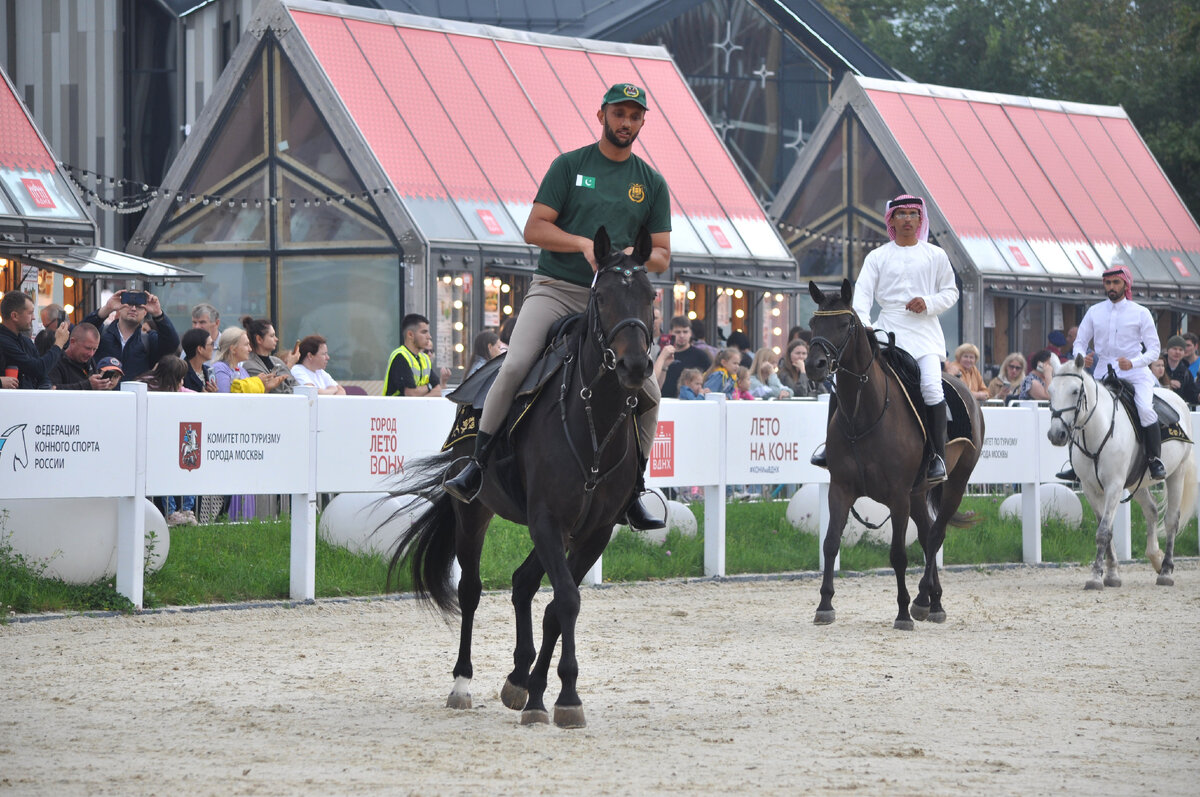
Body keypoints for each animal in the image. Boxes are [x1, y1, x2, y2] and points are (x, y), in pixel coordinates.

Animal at [388, 224, 657, 729]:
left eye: (650, 295)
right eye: (603, 296)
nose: (635, 365)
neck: (593, 420)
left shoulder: (592, 531)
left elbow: (557, 605)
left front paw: (539, 691)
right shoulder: (547, 519)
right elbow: (566, 599)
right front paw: (564, 696)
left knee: (522, 583)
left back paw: (519, 676)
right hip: (473, 512)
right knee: (471, 590)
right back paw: (463, 683)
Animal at [806, 279, 984, 628]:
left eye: (845, 324)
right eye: (813, 323)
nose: (814, 365)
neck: (864, 414)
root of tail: (967, 392)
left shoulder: (898, 496)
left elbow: (898, 554)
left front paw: (902, 612)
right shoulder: (841, 489)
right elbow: (830, 544)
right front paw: (825, 604)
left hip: (954, 485)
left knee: (936, 534)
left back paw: (922, 599)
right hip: (918, 493)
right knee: (928, 534)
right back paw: (933, 602)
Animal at [1046, 352, 1195, 588]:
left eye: (1075, 391)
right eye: (1050, 390)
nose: (1056, 434)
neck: (1097, 431)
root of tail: (1178, 398)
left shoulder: (1114, 486)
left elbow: (1103, 531)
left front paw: (1096, 577)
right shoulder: (1090, 488)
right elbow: (1106, 530)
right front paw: (1111, 574)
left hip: (1176, 474)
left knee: (1172, 519)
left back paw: (1165, 571)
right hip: (1136, 482)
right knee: (1152, 510)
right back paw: (1155, 557)